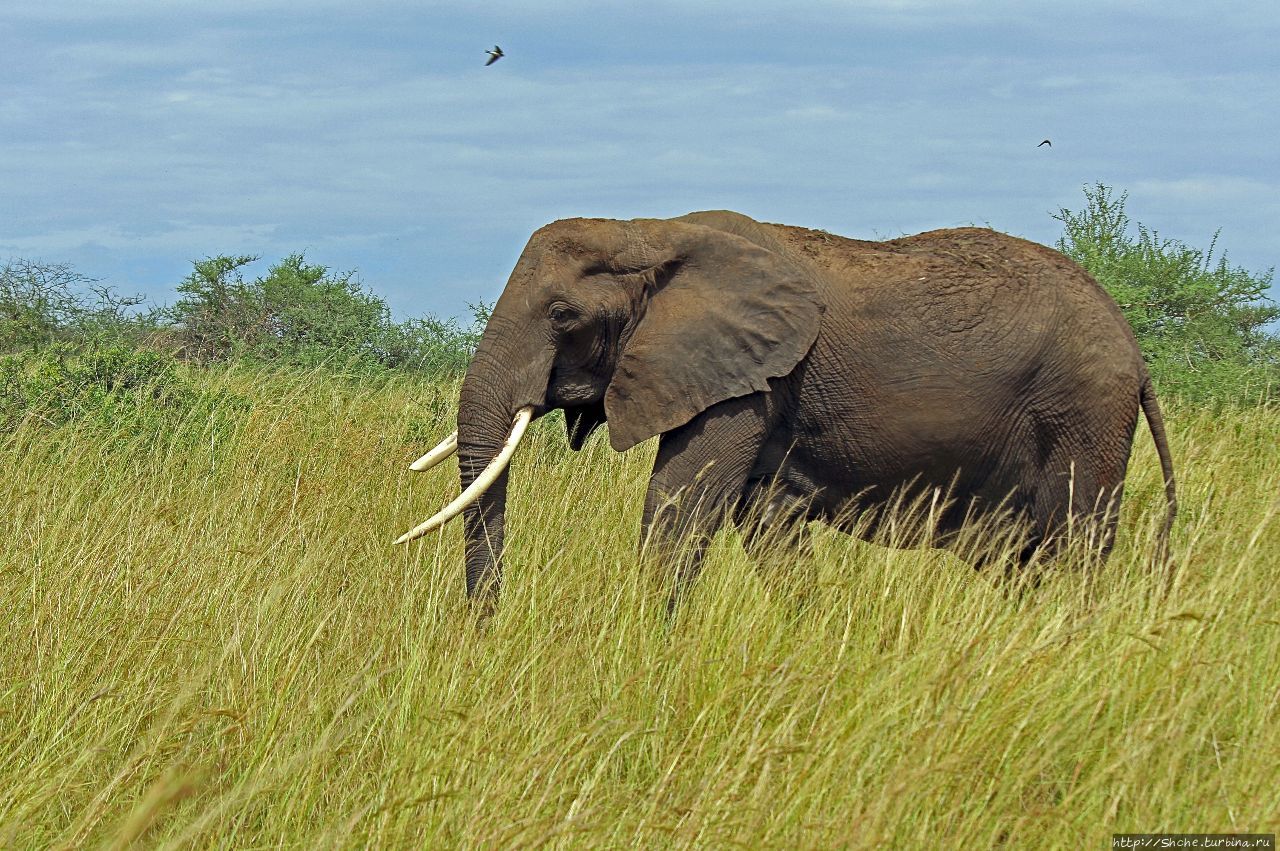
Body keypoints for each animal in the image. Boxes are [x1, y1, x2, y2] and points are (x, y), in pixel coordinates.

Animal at [394, 207, 1172, 604]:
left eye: (562, 314)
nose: (485, 635)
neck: (650, 227)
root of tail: (1136, 354)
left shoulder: (748, 377)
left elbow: (680, 502)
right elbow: (765, 519)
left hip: (1083, 411)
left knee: (1075, 545)